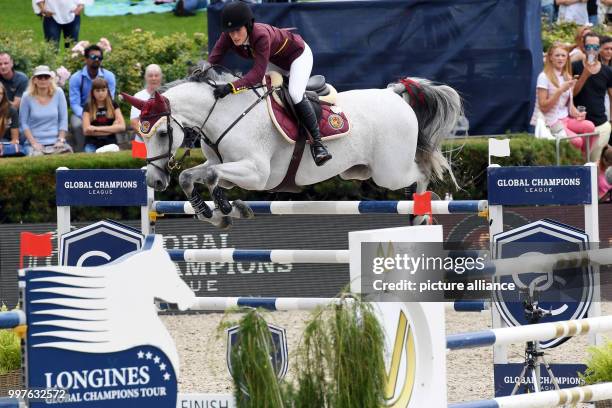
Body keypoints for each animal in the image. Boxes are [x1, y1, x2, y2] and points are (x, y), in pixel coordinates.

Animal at [123, 63, 460, 230]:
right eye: (140, 134)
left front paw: (224, 210)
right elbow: (194, 176)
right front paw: (218, 213)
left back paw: (422, 213)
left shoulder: (258, 174)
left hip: (389, 172)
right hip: (359, 172)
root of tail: (394, 93)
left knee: (422, 172)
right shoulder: (224, 165)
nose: (154, 180)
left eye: (162, 133)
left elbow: (210, 177)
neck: (226, 114)